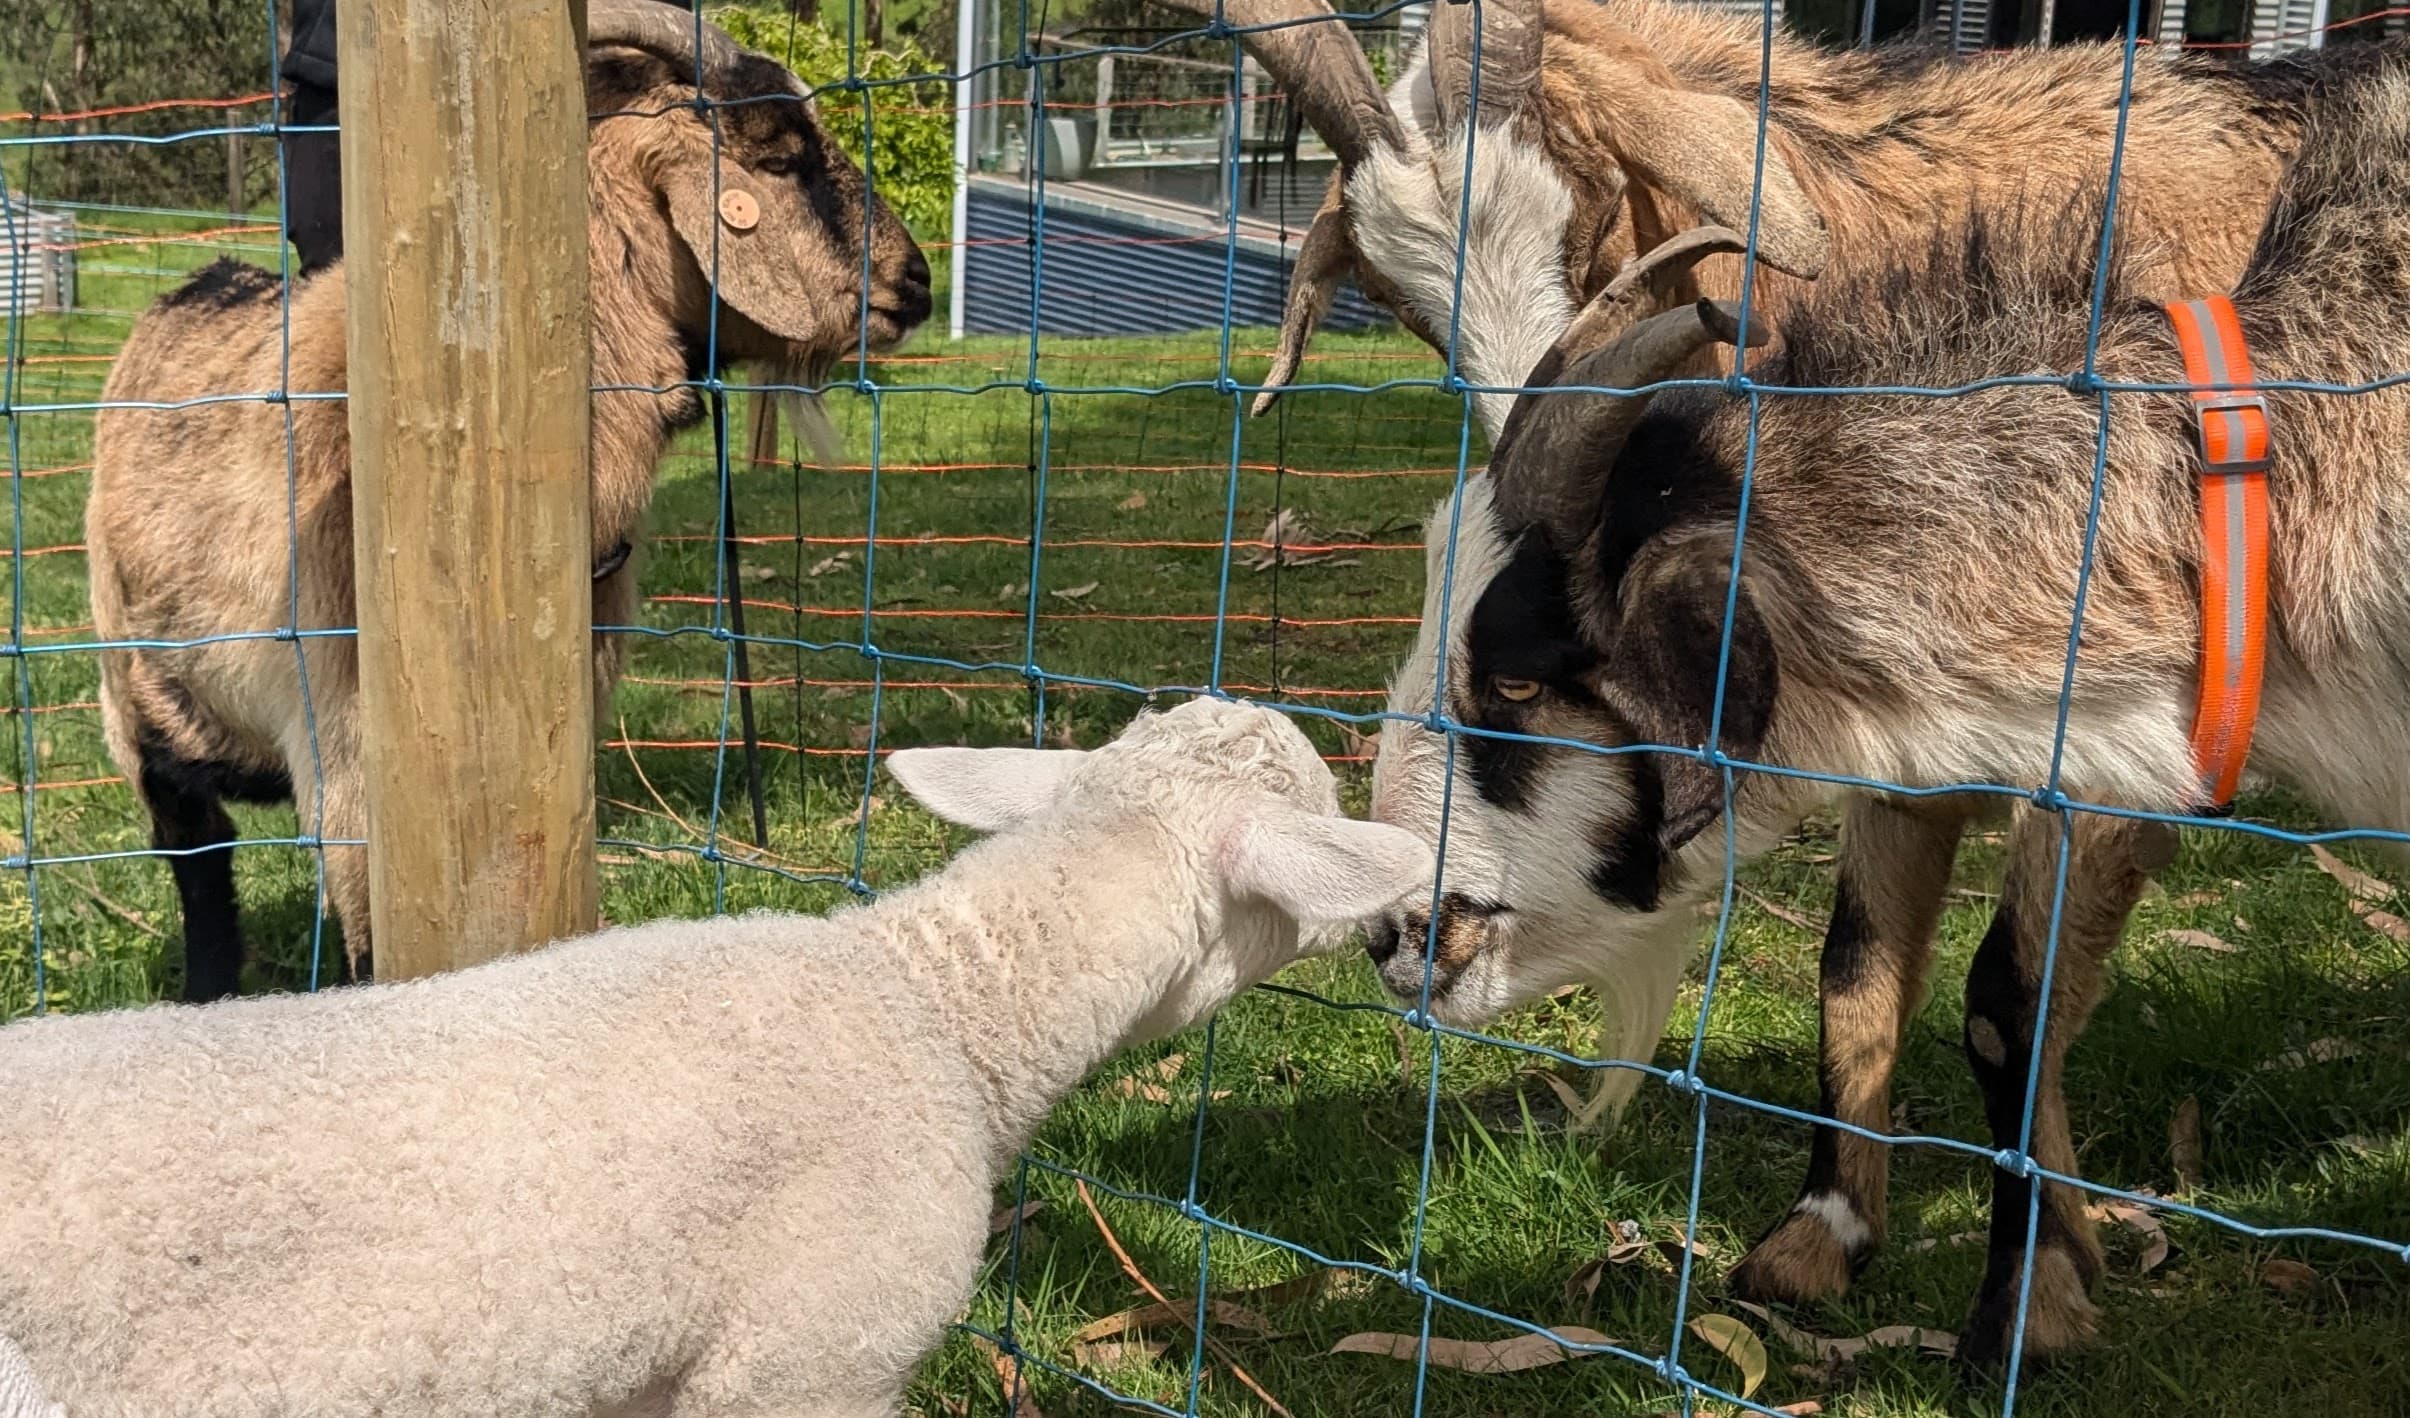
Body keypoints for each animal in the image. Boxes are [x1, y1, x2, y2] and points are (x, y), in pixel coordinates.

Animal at [87, 0, 930, 998]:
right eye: (781, 150)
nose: (916, 282)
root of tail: (196, 284)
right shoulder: (349, 751)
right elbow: (366, 943)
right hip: (137, 691)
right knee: (197, 852)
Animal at [1368, 44, 2410, 1369]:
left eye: (1512, 678)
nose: (1388, 935)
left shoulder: (2114, 749)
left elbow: (2007, 1004)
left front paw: (2023, 1307)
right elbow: (1861, 967)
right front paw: (1832, 1239)